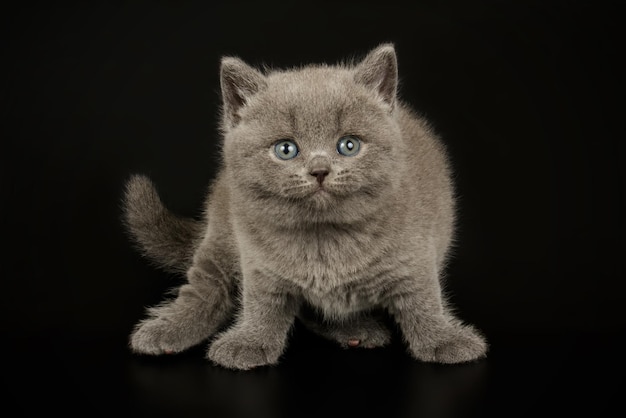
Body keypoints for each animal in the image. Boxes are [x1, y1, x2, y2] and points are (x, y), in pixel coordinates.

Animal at [123, 42, 488, 370]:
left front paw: (444, 339)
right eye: (286, 149)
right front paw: (250, 341)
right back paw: (168, 329)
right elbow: (263, 303)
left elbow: (422, 299)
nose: (320, 169)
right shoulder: (258, 264)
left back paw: (355, 330)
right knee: (204, 289)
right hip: (222, 234)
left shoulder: (415, 254)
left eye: (349, 145)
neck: (323, 239)